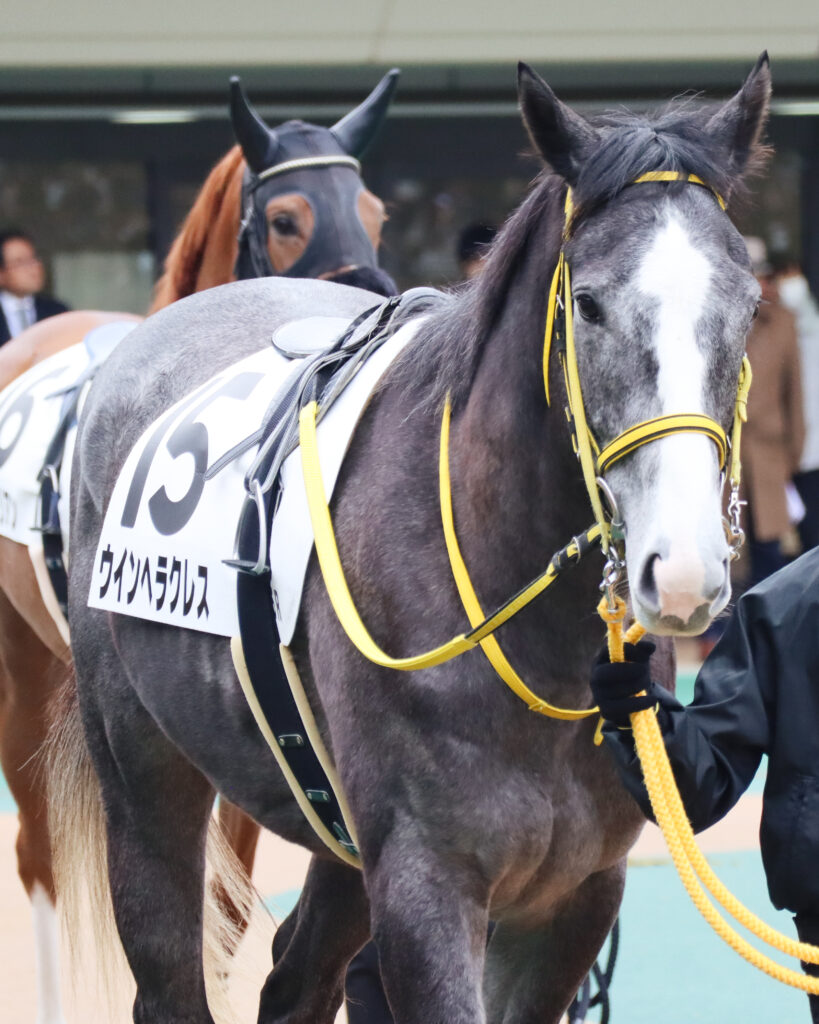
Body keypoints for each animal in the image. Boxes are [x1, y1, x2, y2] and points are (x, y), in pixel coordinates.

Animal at [56, 55, 770, 1023]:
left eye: (749, 304)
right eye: (587, 305)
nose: (686, 570)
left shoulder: (577, 894)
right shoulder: (426, 881)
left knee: (296, 979)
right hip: (142, 769)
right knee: (168, 967)